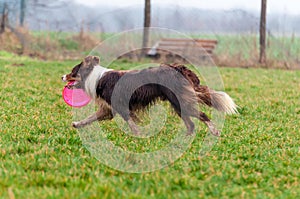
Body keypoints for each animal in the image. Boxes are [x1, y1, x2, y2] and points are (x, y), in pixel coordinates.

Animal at [62, 56, 238, 137]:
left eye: (72, 72)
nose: (62, 76)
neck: (94, 77)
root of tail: (178, 68)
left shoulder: (120, 106)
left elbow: (130, 121)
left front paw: (137, 135)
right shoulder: (107, 108)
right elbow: (90, 118)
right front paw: (77, 124)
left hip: (180, 101)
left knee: (202, 115)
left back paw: (214, 132)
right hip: (178, 103)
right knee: (191, 124)